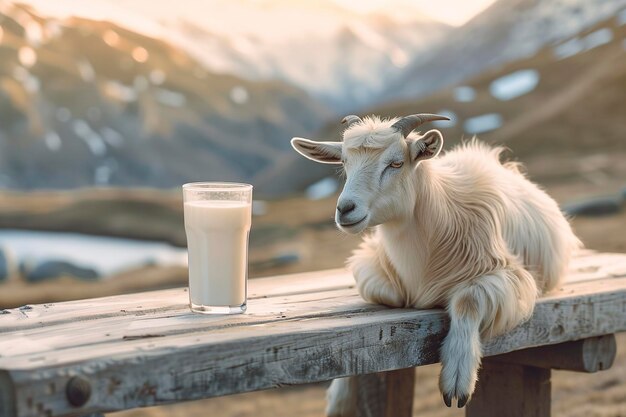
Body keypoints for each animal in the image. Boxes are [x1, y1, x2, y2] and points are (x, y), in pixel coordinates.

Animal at [290, 111, 576, 412]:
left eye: (396, 163)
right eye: (344, 162)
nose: (345, 209)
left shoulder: (510, 274)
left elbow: (468, 300)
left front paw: (458, 378)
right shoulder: (373, 265)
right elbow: (391, 295)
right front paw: (340, 397)